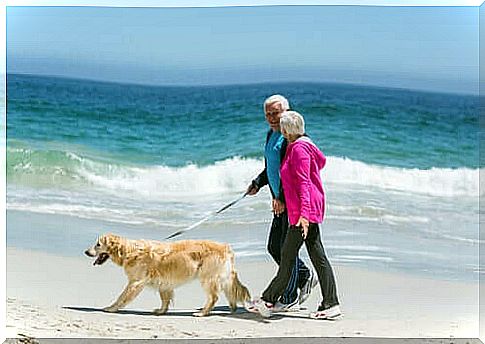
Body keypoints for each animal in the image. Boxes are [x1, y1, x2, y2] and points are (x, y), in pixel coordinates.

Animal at [84, 234, 250, 318]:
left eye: (98, 244)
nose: (86, 252)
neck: (128, 251)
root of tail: (226, 247)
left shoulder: (135, 282)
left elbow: (122, 297)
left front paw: (111, 308)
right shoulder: (164, 283)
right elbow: (165, 298)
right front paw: (161, 311)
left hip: (208, 278)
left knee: (214, 297)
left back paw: (202, 313)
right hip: (223, 277)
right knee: (230, 292)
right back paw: (232, 308)